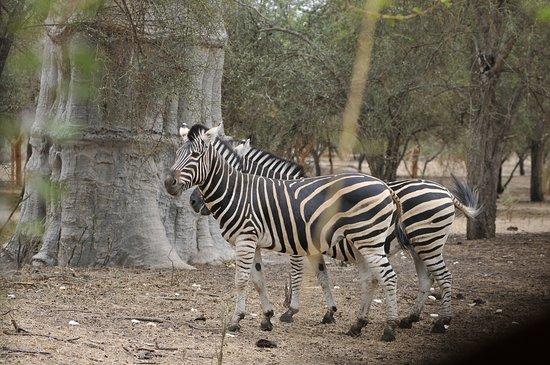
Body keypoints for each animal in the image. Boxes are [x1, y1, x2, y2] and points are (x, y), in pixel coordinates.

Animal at [166, 123, 412, 342]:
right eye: (176, 154)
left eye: (195, 155)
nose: (170, 183)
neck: (238, 192)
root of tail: (385, 187)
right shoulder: (255, 242)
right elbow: (259, 280)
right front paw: (267, 318)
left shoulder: (251, 240)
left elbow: (244, 280)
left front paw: (237, 320)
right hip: (363, 241)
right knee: (372, 279)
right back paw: (357, 325)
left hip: (372, 239)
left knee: (389, 277)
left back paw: (390, 328)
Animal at [193, 136, 484, 332]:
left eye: (225, 170)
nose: (194, 202)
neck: (280, 195)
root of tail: (445, 192)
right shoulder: (311, 246)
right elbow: (323, 277)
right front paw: (330, 312)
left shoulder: (297, 245)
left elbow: (297, 276)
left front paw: (291, 311)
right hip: (418, 246)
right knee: (427, 280)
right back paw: (408, 319)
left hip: (427, 241)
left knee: (442, 277)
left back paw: (440, 322)